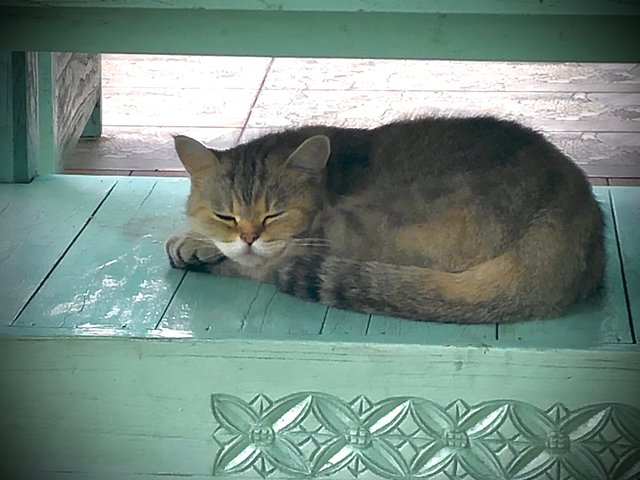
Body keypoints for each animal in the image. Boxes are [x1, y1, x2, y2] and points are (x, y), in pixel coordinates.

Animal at [166, 116, 604, 324]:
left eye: (275, 214)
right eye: (225, 215)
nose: (248, 237)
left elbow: (253, 260)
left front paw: (194, 243)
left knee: (270, 269)